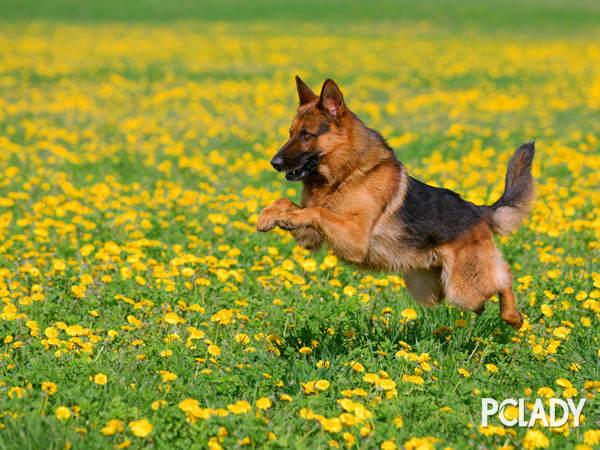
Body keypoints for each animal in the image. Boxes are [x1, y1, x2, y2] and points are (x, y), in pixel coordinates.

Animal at [256, 77, 536, 328]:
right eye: (290, 134)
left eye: (306, 135)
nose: (274, 163)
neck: (346, 174)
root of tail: (476, 210)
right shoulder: (313, 237)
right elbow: (288, 202)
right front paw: (270, 215)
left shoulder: (354, 238)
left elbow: (316, 211)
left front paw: (289, 216)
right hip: (435, 288)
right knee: (486, 292)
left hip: (462, 288)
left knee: (504, 274)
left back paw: (513, 316)